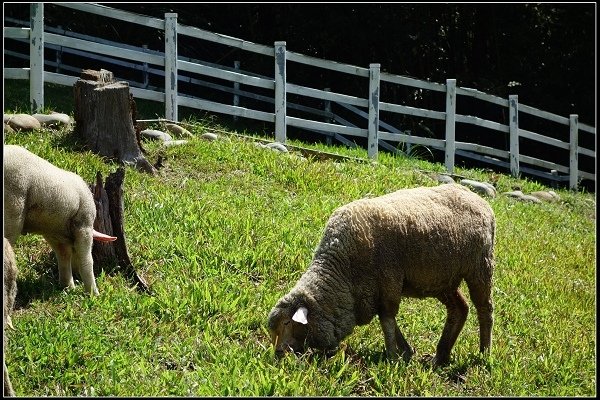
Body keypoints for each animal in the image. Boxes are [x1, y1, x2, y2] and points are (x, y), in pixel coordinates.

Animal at [3, 145, 117, 296]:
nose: (76, 275)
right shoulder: (84, 225)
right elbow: (86, 260)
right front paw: (93, 293)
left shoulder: (55, 234)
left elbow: (63, 256)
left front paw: (67, 286)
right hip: (13, 207)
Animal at [270, 184, 494, 366]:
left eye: (288, 323)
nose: (278, 353)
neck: (343, 271)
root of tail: (477, 198)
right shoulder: (373, 291)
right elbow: (387, 319)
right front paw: (405, 352)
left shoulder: (389, 280)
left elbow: (387, 321)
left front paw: (392, 357)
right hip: (442, 279)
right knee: (459, 308)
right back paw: (441, 356)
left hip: (480, 266)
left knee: (484, 309)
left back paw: (484, 353)